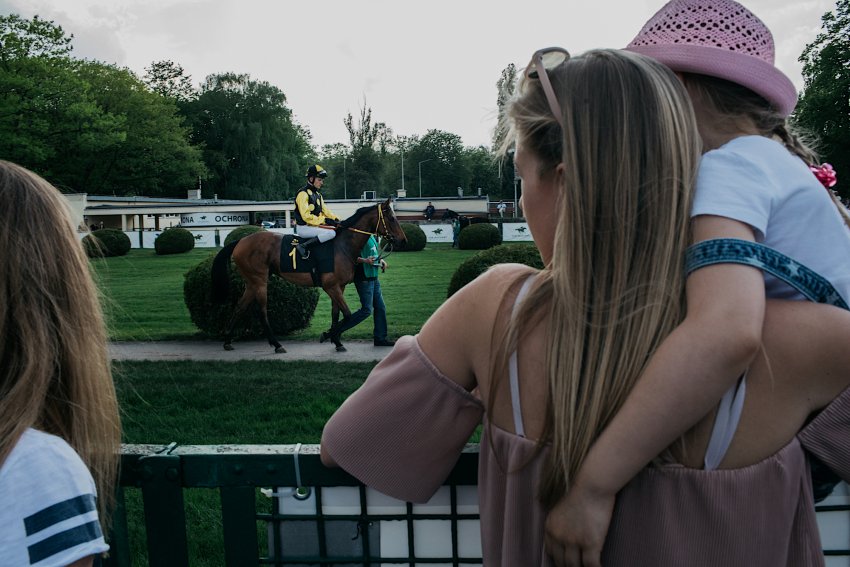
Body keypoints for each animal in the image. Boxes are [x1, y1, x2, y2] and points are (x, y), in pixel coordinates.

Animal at [211, 198, 407, 353]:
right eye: (391, 218)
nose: (403, 240)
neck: (342, 246)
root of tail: (241, 241)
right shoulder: (330, 286)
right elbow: (348, 315)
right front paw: (327, 335)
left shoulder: (339, 287)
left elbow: (336, 314)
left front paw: (337, 341)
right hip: (259, 281)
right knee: (262, 312)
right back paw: (276, 344)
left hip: (252, 283)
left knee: (239, 307)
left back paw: (227, 341)